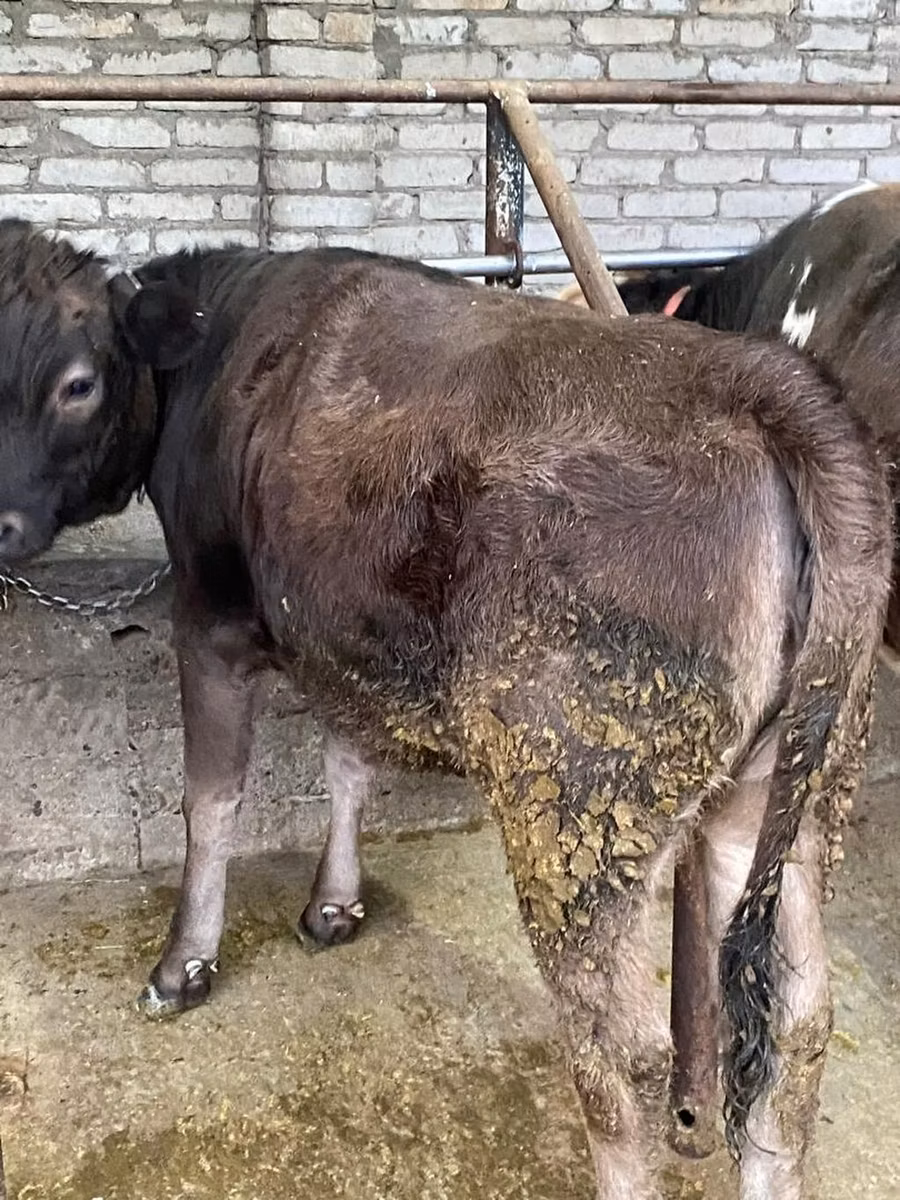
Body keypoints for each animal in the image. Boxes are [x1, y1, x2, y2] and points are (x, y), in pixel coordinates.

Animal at [0, 219, 891, 1200]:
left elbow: (211, 801)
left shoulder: (211, 614)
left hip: (580, 802)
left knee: (623, 1055)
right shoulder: (342, 626)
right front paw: (333, 908)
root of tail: (764, 381)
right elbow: (349, 762)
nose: (0, 524)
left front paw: (182, 963)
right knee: (796, 1028)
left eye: (79, 383)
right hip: (791, 786)